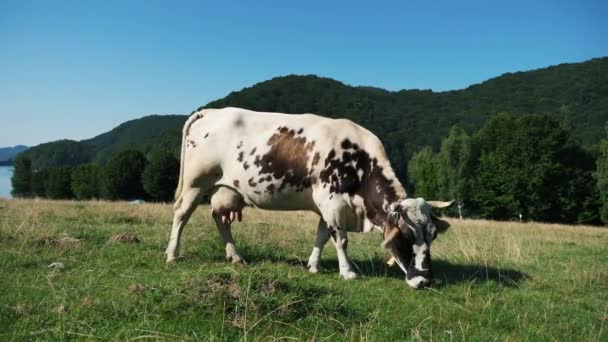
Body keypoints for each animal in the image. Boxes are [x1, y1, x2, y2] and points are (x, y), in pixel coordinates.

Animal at [164, 107, 454, 288]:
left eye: (432, 236)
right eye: (406, 236)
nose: (425, 281)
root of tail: (212, 111)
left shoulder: (326, 206)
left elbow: (322, 236)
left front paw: (314, 265)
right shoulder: (332, 202)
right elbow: (341, 239)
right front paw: (348, 272)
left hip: (227, 190)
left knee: (219, 217)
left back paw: (235, 256)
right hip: (195, 182)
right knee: (182, 214)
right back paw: (172, 254)